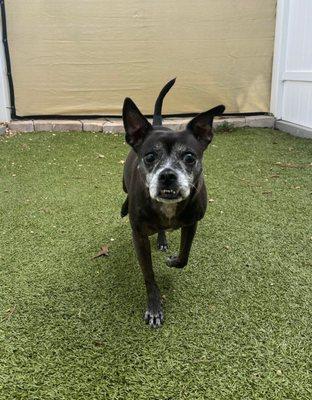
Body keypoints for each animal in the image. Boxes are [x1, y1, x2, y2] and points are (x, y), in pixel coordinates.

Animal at [120, 79, 225, 326]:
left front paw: (172, 260)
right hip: (123, 184)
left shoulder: (192, 224)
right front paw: (154, 307)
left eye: (189, 157)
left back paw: (162, 239)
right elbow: (149, 275)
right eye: (150, 157)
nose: (167, 175)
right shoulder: (139, 236)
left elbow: (184, 257)